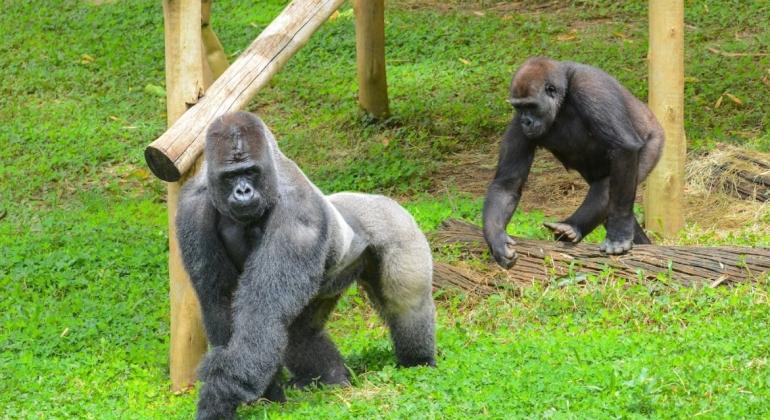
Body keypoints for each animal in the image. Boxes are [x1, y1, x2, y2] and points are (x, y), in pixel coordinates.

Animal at [176, 112, 436, 420]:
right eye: (230, 176)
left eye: (250, 172)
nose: (243, 191)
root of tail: (384, 200)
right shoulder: (192, 209)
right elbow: (219, 299)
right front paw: (265, 393)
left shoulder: (299, 215)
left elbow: (263, 312)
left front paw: (220, 393)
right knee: (300, 333)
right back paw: (332, 378)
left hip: (399, 227)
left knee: (407, 304)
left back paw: (418, 360)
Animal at [484, 57, 664, 268]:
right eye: (519, 107)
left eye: (531, 106)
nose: (526, 121)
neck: (563, 95)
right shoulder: (516, 123)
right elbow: (507, 184)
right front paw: (496, 239)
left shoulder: (589, 87)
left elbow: (624, 147)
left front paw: (619, 234)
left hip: (654, 142)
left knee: (609, 186)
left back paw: (577, 227)